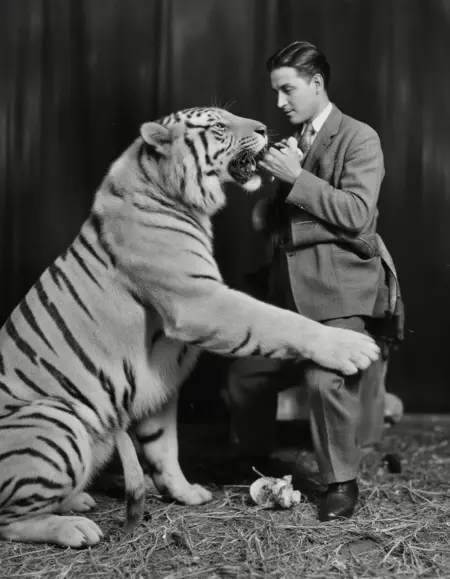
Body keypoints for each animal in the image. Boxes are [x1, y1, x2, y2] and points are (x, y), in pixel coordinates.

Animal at [0, 106, 380, 548]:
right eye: (218, 126)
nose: (263, 128)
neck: (170, 191)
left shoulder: (158, 382)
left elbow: (164, 447)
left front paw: (186, 493)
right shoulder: (200, 302)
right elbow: (279, 321)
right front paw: (351, 346)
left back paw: (78, 500)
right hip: (55, 422)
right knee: (9, 519)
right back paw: (74, 527)